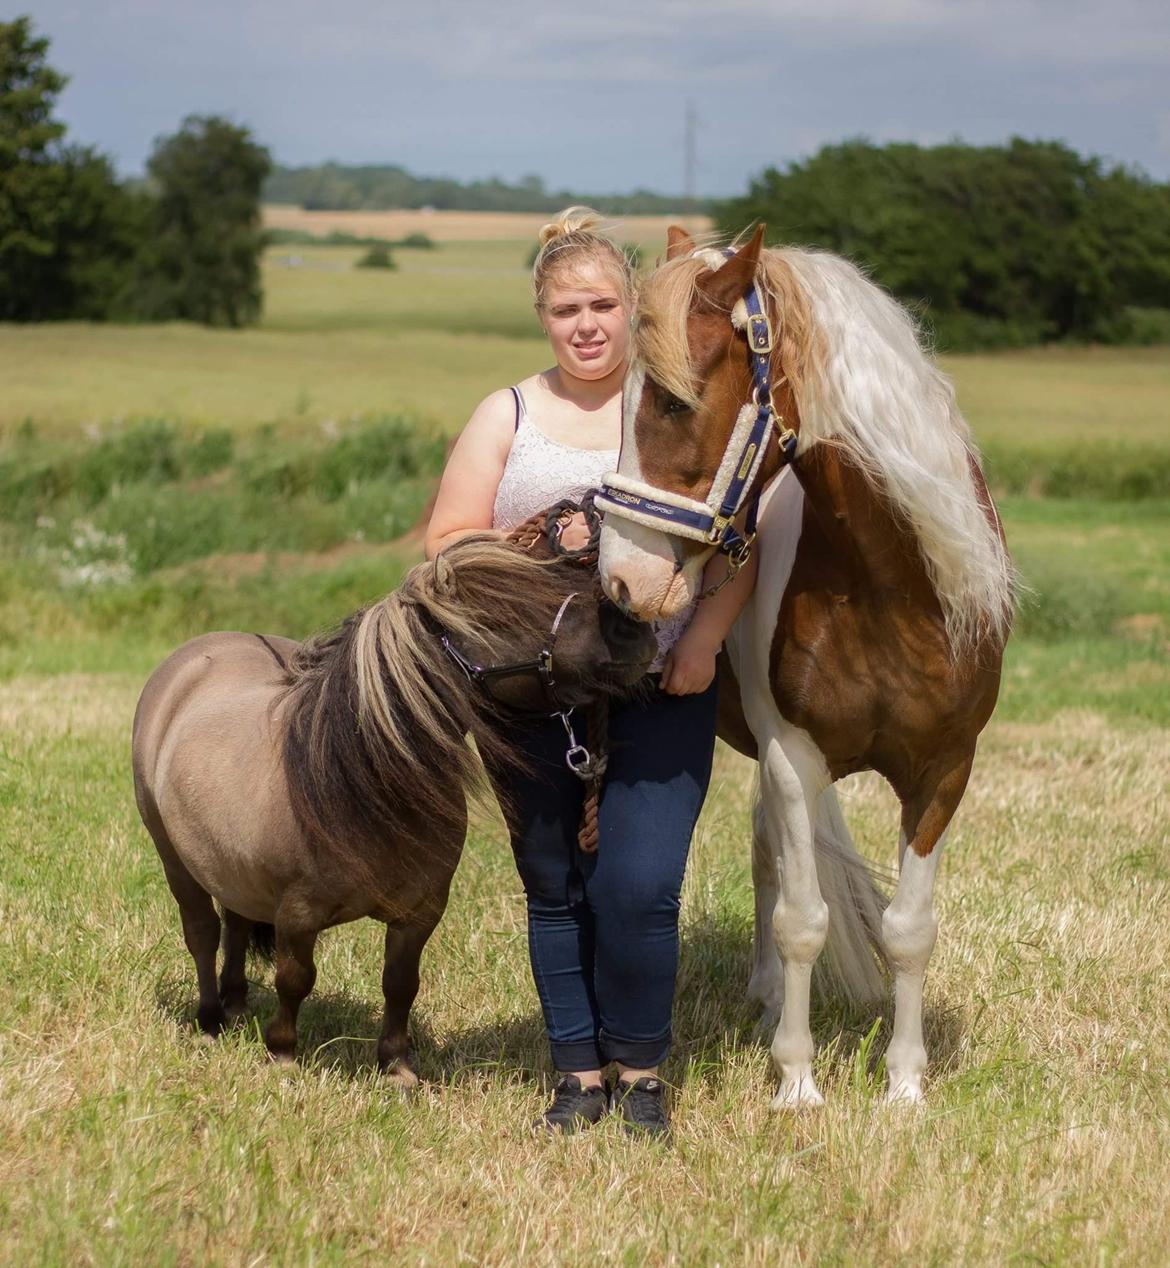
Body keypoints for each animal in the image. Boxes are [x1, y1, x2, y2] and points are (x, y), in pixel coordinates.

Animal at [135, 535, 659, 1080]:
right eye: (503, 613)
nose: (632, 631)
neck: (360, 787)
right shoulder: (297, 915)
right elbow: (294, 979)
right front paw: (282, 1054)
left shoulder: (420, 913)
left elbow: (400, 982)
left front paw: (396, 1065)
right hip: (174, 859)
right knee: (202, 933)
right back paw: (210, 1020)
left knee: (235, 922)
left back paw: (236, 1005)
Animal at [598, 228, 1009, 1110]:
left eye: (674, 403)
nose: (621, 580)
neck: (891, 585)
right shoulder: (793, 756)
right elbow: (802, 918)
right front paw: (796, 1082)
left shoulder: (944, 771)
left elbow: (909, 930)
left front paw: (905, 1085)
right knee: (772, 867)